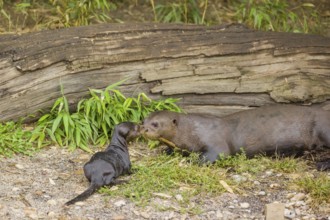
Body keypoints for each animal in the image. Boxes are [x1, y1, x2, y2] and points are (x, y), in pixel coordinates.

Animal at [139, 105, 330, 164]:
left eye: (155, 124)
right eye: (143, 120)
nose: (143, 129)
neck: (191, 131)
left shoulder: (214, 139)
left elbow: (221, 152)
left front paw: (198, 160)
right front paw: (167, 150)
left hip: (324, 127)